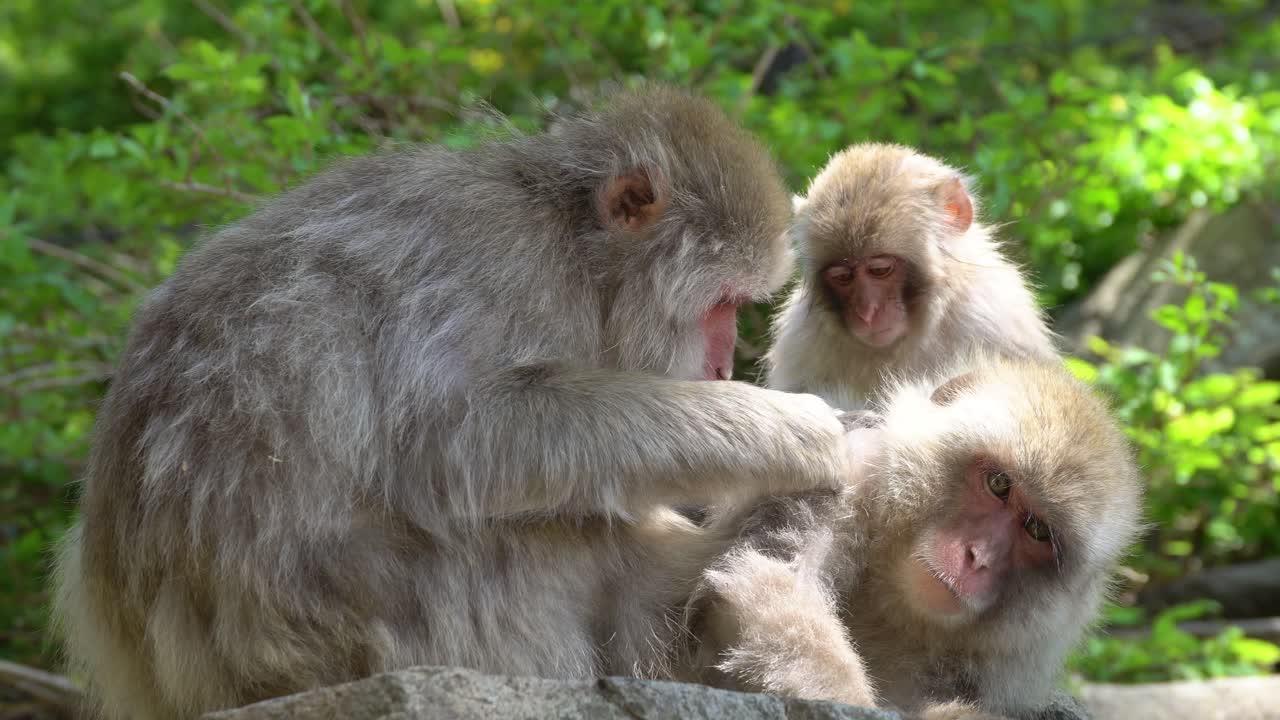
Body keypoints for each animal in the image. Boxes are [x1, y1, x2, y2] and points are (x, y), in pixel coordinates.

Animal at [51, 85, 868, 720]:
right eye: (722, 305)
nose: (724, 360)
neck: (573, 247)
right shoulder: (504, 263)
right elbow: (457, 437)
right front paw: (800, 431)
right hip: (367, 632)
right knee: (525, 529)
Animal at [683, 356, 1144, 719]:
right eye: (999, 484)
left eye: (1037, 530)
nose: (978, 557)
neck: (890, 600)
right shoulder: (847, 460)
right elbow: (772, 580)